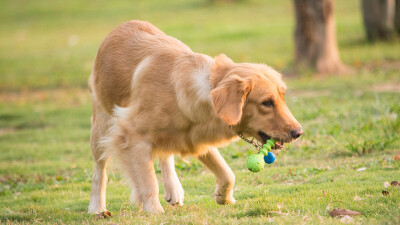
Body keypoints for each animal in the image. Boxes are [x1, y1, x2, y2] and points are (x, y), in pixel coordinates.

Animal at [88, 20, 304, 214]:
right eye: (267, 103)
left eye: (282, 97)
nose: (298, 132)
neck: (207, 89)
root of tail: (119, 27)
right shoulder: (132, 136)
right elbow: (148, 181)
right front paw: (154, 210)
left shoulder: (195, 137)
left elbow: (228, 174)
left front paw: (223, 197)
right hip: (101, 127)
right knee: (99, 170)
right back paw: (97, 207)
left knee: (165, 155)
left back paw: (173, 188)